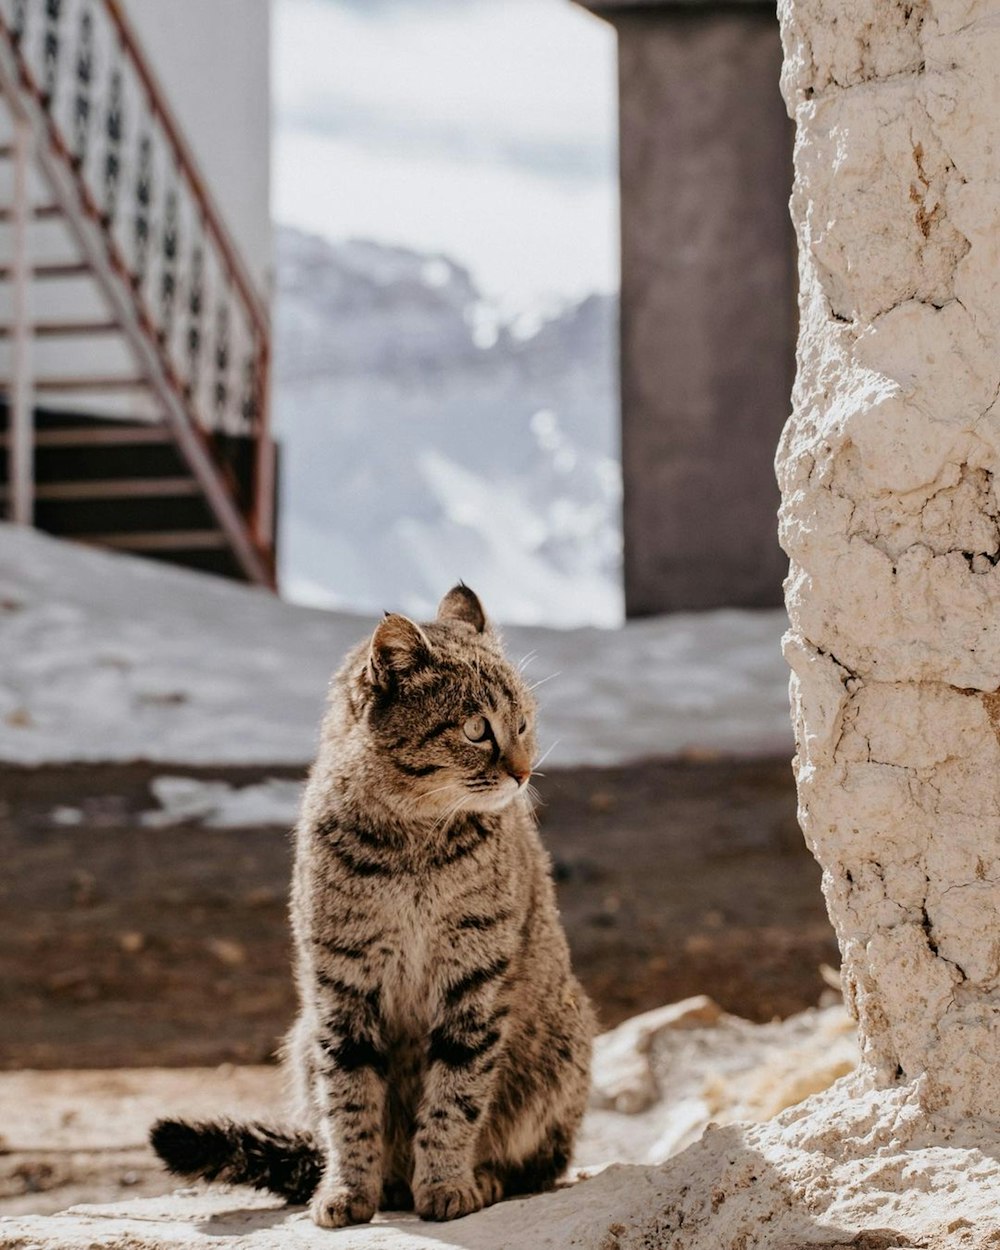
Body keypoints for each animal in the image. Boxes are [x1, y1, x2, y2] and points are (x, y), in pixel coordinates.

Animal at [150, 587, 595, 1230]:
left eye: (523, 724)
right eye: (477, 729)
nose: (523, 771)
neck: (411, 844)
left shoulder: (474, 977)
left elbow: (456, 1094)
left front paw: (446, 1184)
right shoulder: (341, 982)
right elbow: (351, 1101)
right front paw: (350, 1189)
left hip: (564, 1042)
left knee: (540, 1162)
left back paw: (482, 1177)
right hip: (302, 1036)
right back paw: (390, 1183)